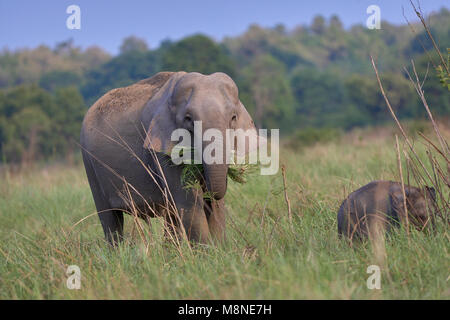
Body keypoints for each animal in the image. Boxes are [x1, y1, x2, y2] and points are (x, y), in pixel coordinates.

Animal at [81, 72, 260, 245]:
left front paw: (220, 249)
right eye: (188, 119)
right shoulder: (162, 149)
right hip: (89, 165)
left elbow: (215, 205)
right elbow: (189, 204)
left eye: (233, 117)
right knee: (110, 218)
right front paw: (205, 251)